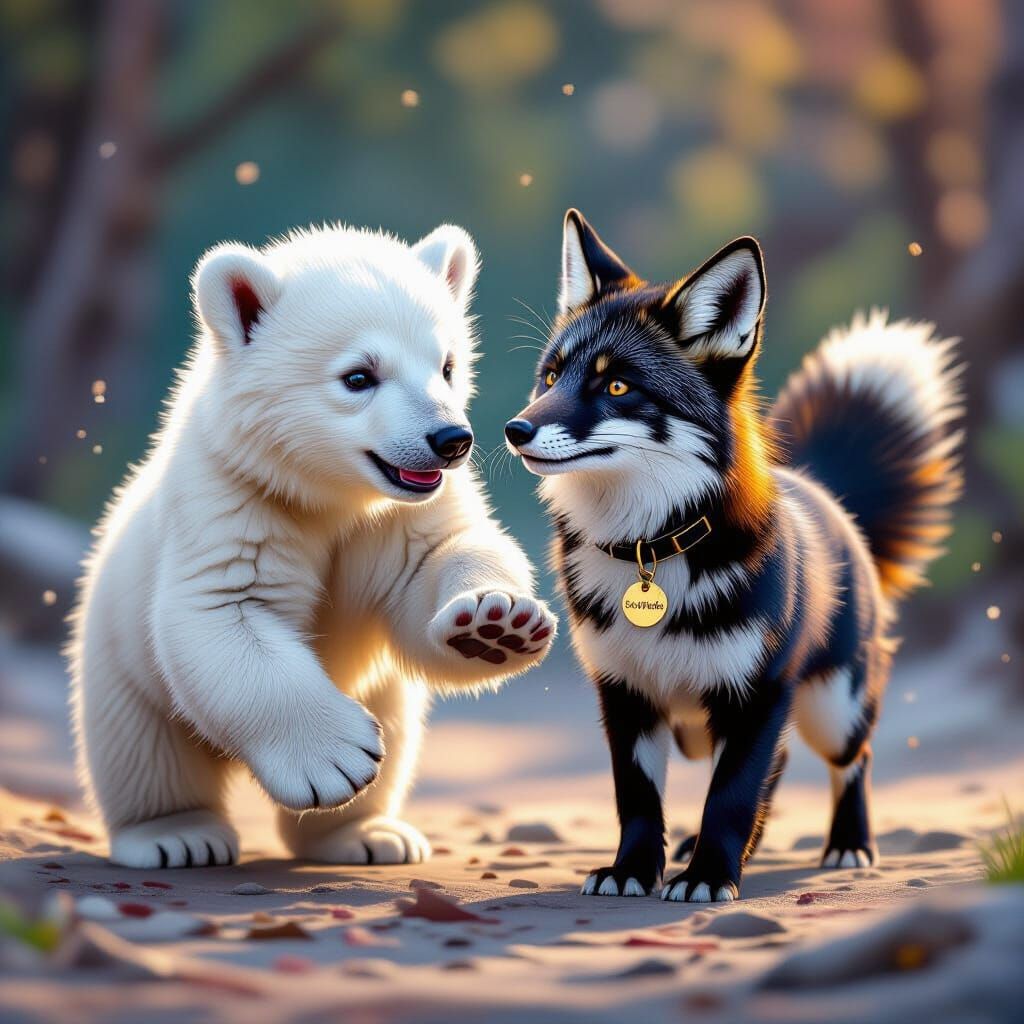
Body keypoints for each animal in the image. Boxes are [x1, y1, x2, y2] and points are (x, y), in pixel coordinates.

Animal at [504, 209, 963, 902]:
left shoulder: (758, 695)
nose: (515, 429)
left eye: (617, 385)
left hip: (833, 709)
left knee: (851, 760)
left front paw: (708, 876)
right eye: (552, 377)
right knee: (781, 766)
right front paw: (633, 869)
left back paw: (848, 843)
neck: (653, 551)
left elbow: (730, 798)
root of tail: (824, 491)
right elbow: (639, 800)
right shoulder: (624, 694)